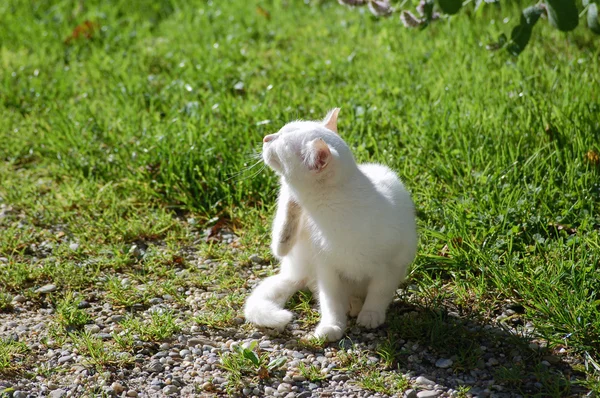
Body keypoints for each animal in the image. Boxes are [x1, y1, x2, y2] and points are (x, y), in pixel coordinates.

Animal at [244, 109, 418, 342]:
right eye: (279, 131)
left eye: (282, 143)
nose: (266, 138)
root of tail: (295, 270)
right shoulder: (327, 270)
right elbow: (330, 301)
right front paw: (332, 325)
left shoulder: (391, 265)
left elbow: (379, 292)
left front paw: (371, 314)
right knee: (284, 248)